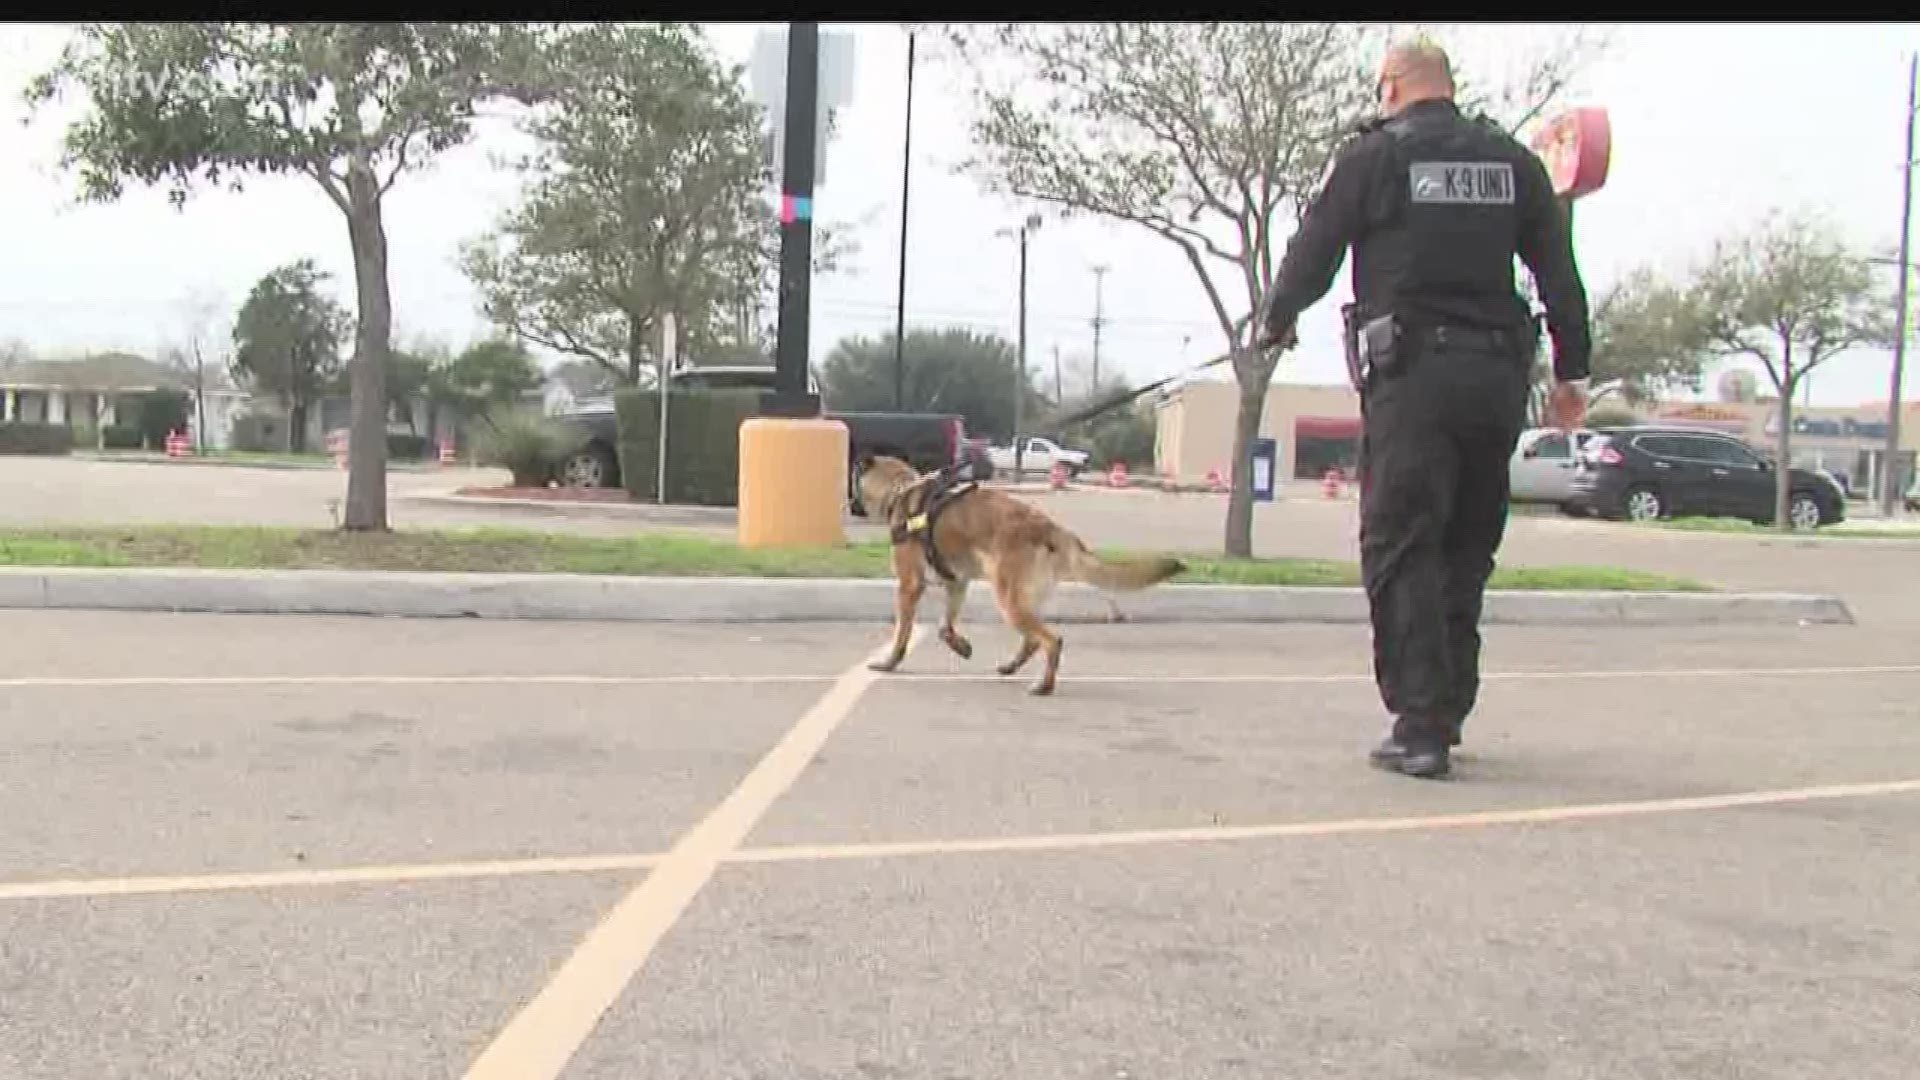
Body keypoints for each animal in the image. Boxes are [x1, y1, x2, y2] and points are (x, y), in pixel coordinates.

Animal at [860, 451, 1182, 687]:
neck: (901, 489)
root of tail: (1051, 529)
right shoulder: (957, 583)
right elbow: (944, 626)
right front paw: (960, 645)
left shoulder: (909, 586)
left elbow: (902, 634)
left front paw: (889, 663)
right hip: (1021, 599)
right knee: (1032, 640)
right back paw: (1011, 667)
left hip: (1008, 598)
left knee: (1051, 640)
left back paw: (1044, 686)